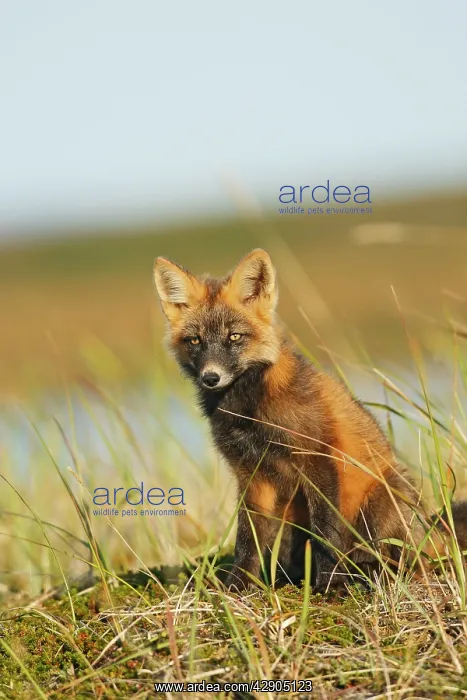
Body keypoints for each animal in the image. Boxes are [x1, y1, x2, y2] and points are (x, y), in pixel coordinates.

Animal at [153, 248, 467, 592]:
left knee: (400, 559)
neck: (248, 413)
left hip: (382, 502)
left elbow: (325, 533)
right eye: (195, 341)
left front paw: (330, 585)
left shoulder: (318, 458)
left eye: (234, 337)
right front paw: (238, 586)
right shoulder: (250, 474)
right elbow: (247, 540)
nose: (211, 377)